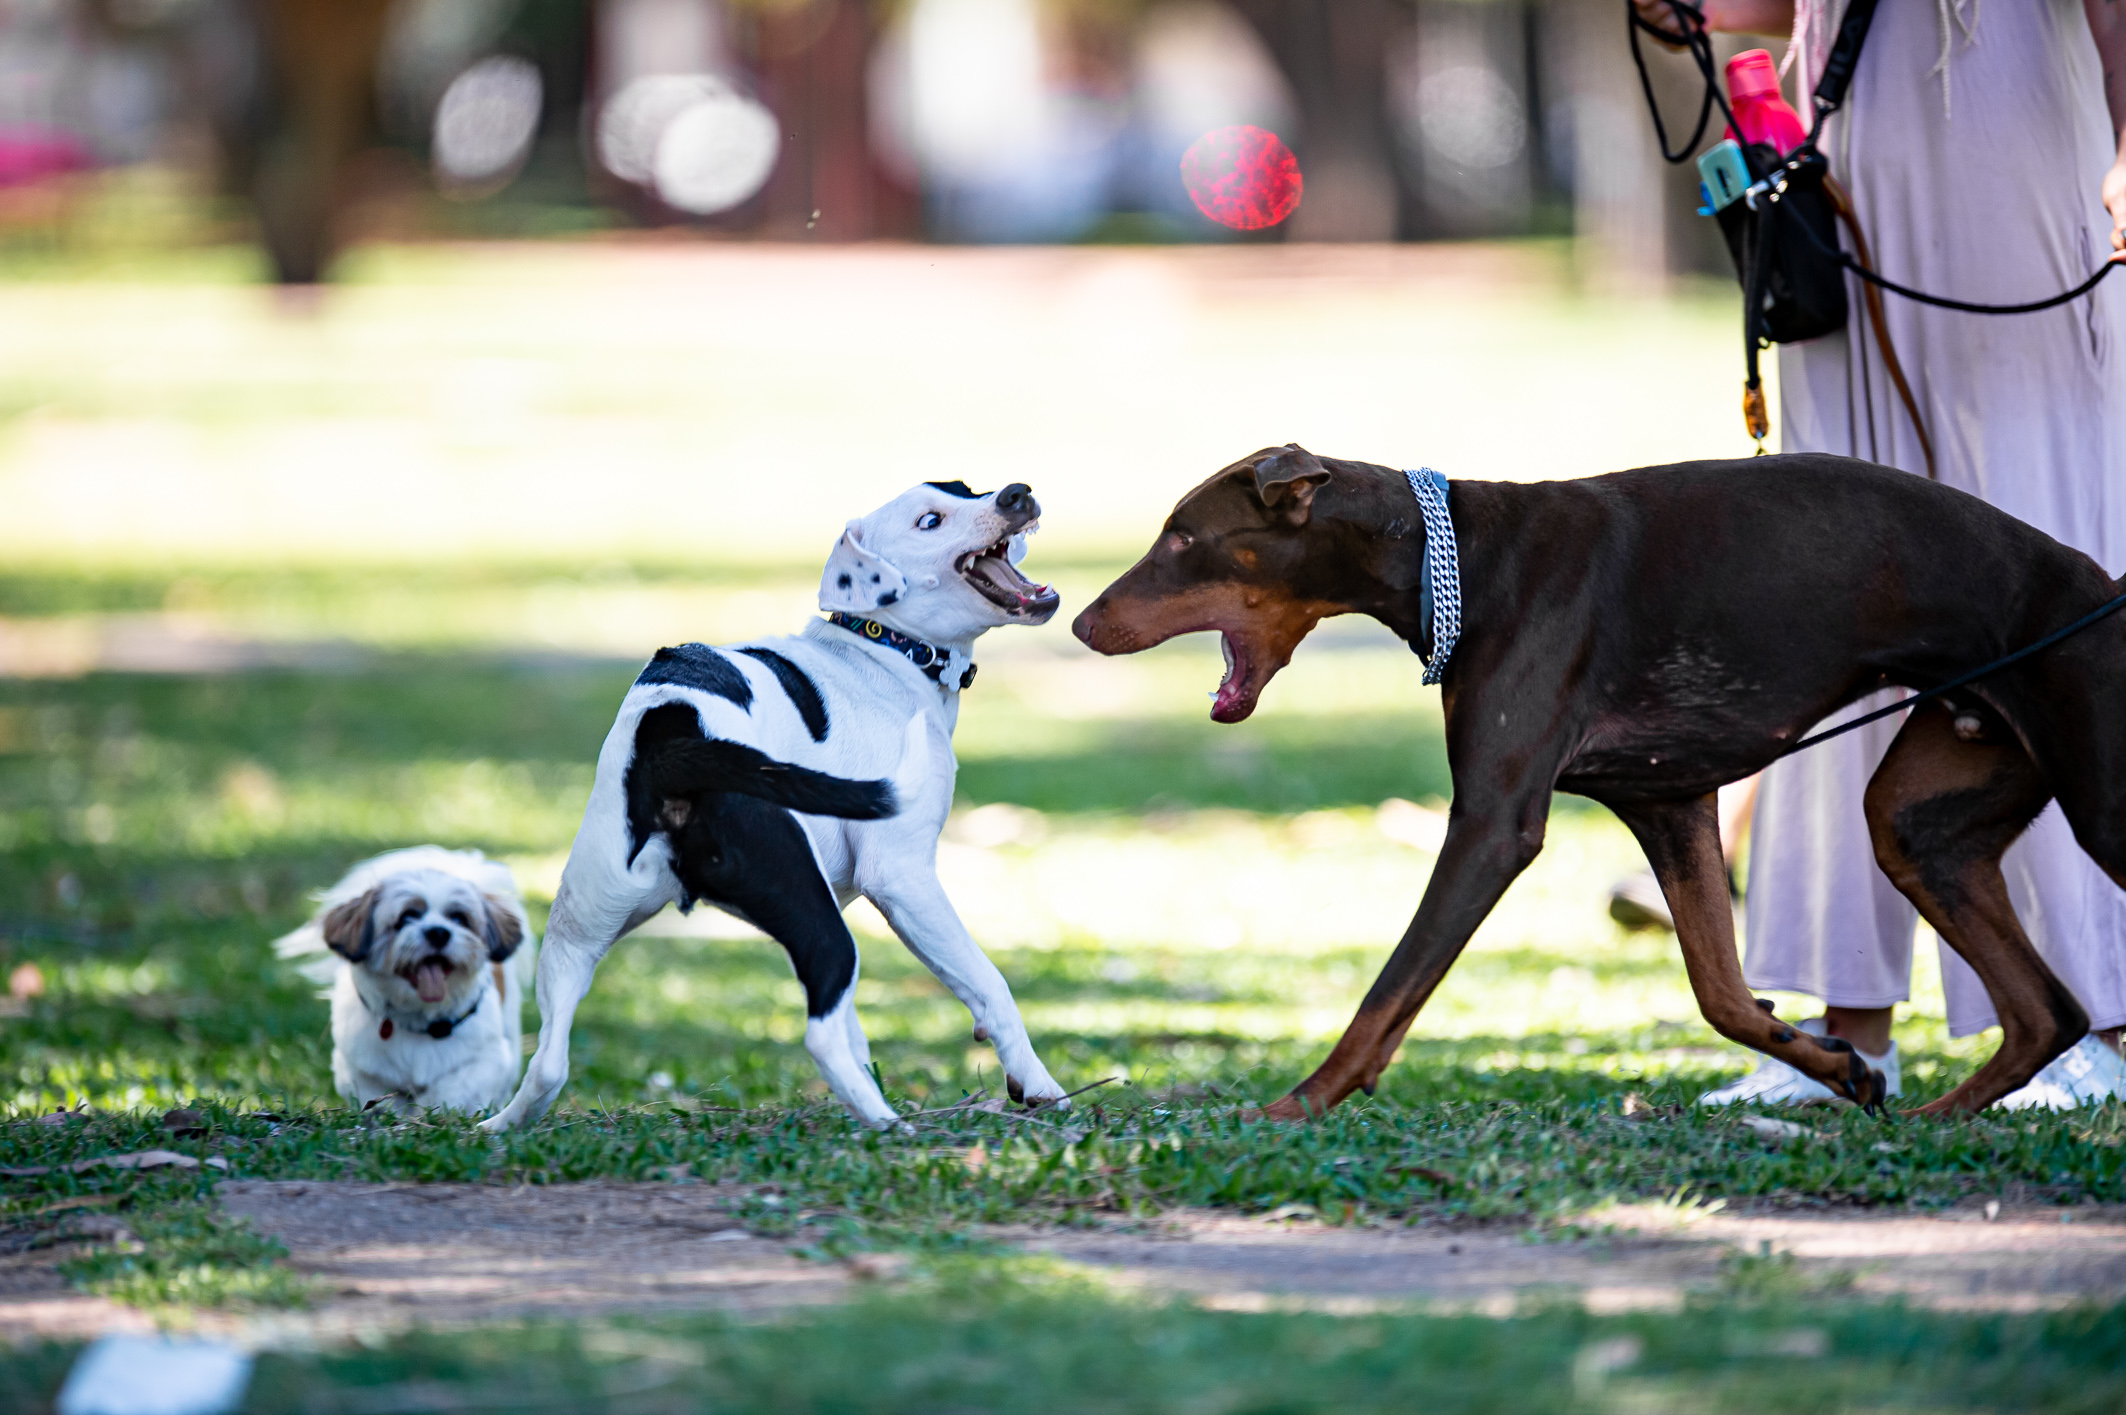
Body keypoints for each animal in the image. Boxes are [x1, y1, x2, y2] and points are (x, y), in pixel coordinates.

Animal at [276, 841, 531, 1104]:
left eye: (459, 919)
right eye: (406, 917)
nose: (438, 932)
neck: (421, 1018)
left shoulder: (487, 1059)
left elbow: (455, 1088)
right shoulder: (360, 1068)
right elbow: (378, 1096)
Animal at [488, 480, 1071, 1130]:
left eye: (969, 488)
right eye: (930, 520)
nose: (1017, 493)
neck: (883, 651)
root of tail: (673, 737)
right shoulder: (902, 879)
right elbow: (988, 984)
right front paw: (1037, 1083)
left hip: (577, 929)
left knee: (548, 1062)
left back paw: (497, 1126)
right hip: (817, 921)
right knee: (820, 1035)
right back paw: (888, 1123)